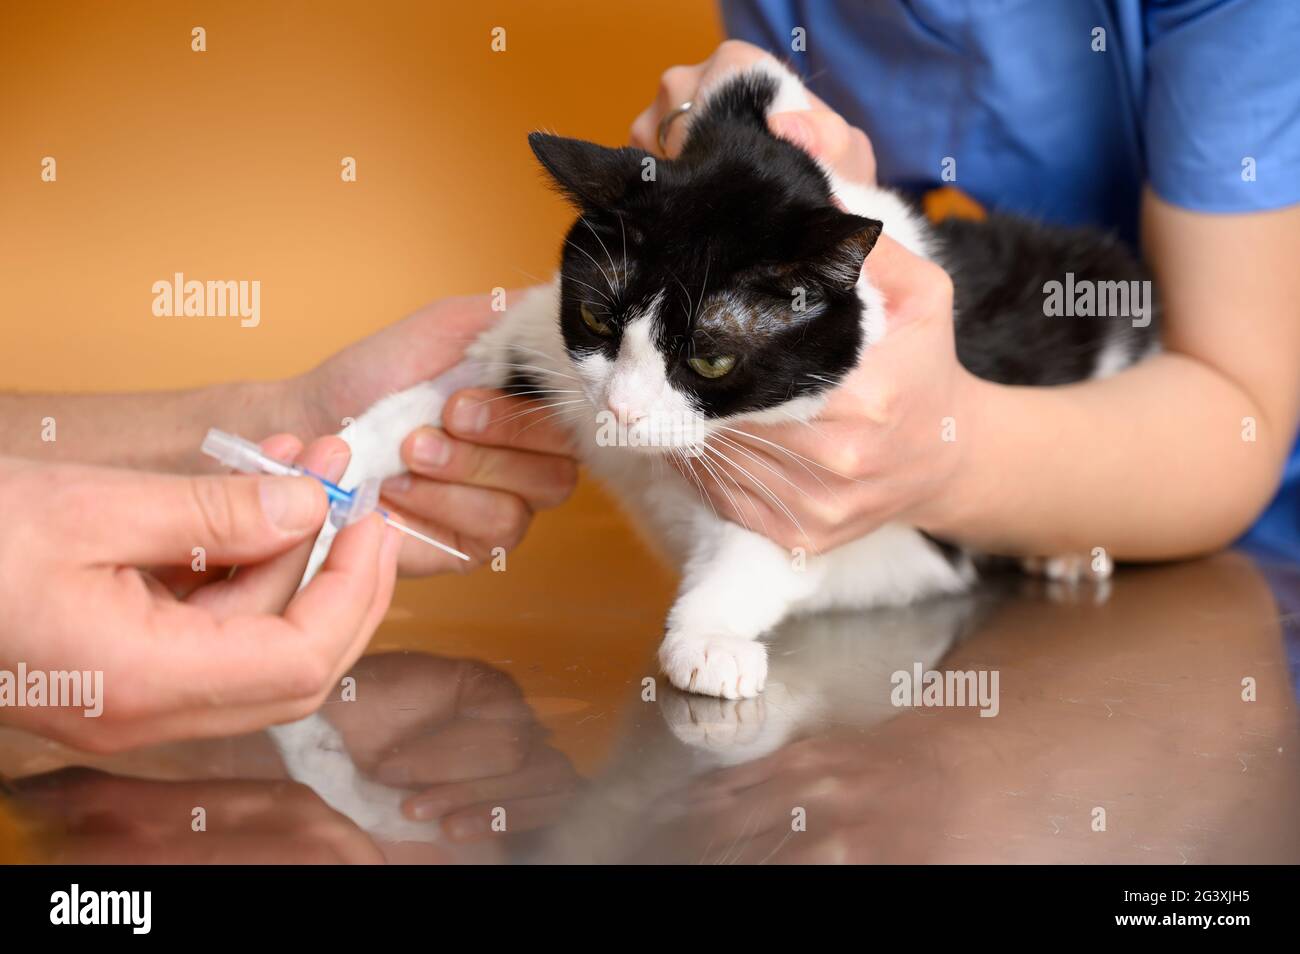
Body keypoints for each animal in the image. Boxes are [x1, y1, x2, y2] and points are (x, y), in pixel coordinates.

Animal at [299, 59, 1154, 701]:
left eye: (711, 358)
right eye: (599, 318)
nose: (621, 411)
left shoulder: (818, 469)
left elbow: (762, 551)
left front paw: (708, 639)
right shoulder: (544, 347)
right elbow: (456, 375)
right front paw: (337, 463)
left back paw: (1068, 555)